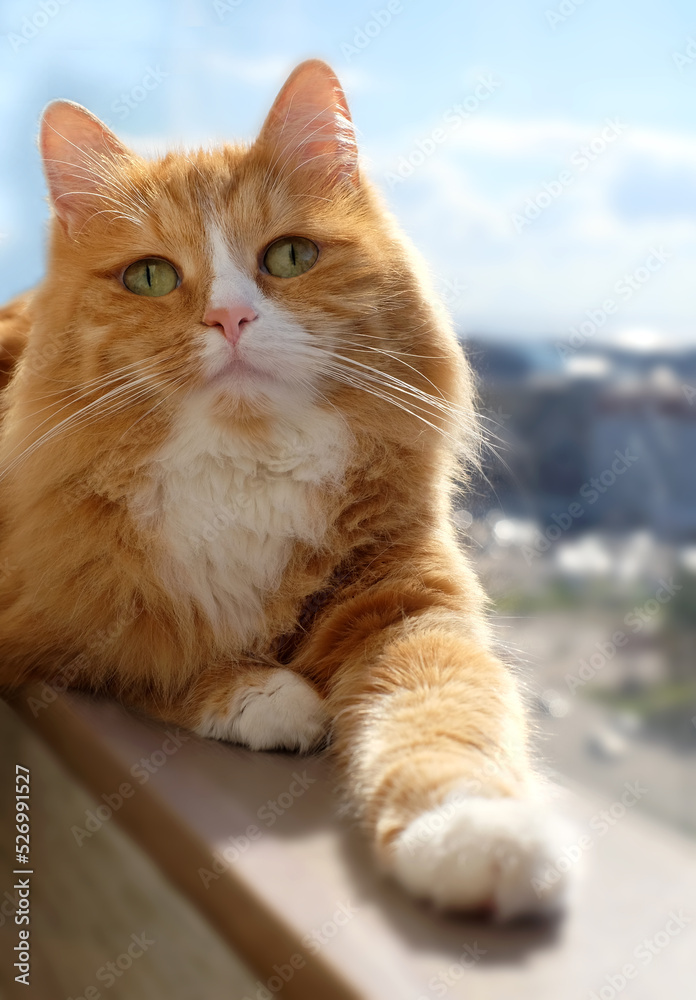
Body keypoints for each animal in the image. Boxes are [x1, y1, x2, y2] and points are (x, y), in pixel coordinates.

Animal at [0, 58, 572, 916]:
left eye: (291, 257)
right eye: (150, 276)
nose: (231, 319)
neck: (245, 465)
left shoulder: (406, 600)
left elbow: (443, 708)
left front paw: (474, 832)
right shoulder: (59, 609)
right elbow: (155, 652)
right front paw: (264, 694)